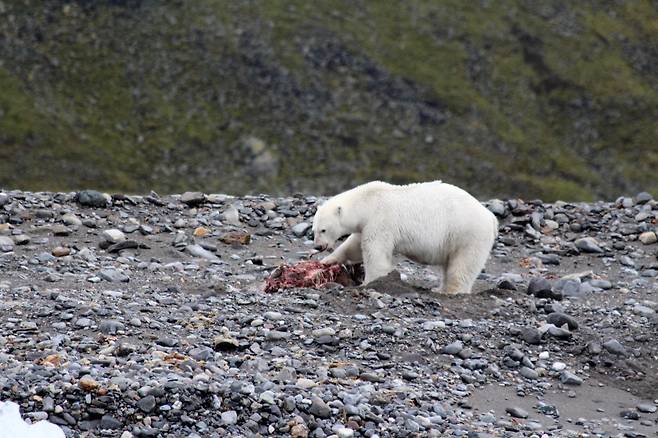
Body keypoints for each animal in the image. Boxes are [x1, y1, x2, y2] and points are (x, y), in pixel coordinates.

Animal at [310, 180, 494, 296]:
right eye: (313, 230)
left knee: (463, 265)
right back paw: (439, 289)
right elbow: (353, 246)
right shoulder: (365, 225)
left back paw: (451, 291)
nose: (318, 246)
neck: (369, 201)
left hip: (467, 234)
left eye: (323, 230)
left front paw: (370, 282)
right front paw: (327, 261)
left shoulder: (381, 220)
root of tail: (490, 216)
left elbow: (374, 251)